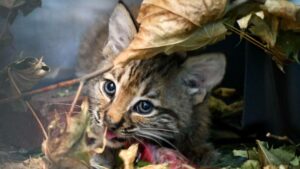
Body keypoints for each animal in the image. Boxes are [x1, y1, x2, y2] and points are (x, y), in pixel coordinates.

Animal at [82, 2, 225, 168]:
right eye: (110, 88)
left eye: (145, 107)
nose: (109, 123)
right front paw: (101, 153)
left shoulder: (200, 112)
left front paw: (198, 152)